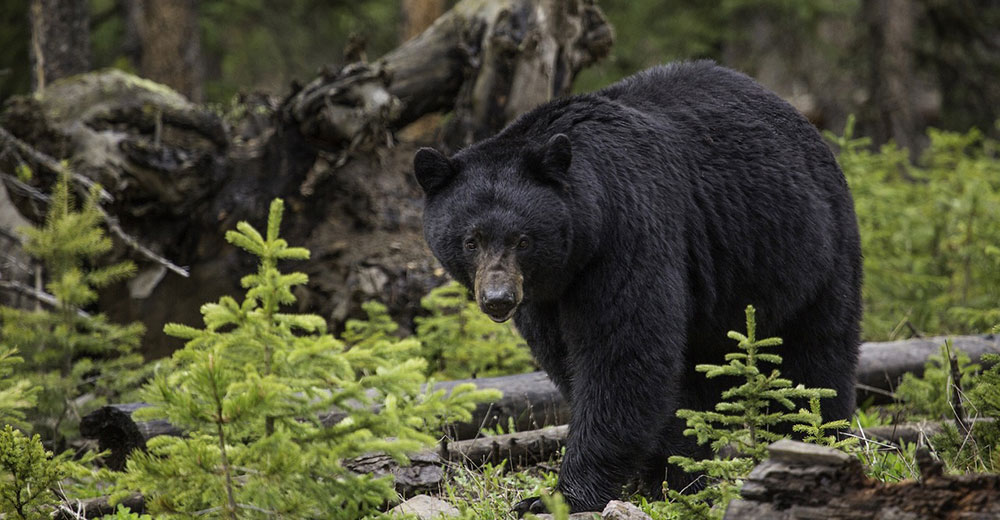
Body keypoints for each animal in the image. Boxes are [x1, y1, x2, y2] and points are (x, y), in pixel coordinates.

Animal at [413, 61, 862, 514]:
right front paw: (664, 473)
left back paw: (814, 440)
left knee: (815, 358)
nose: (498, 299)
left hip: (809, 253)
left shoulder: (628, 233)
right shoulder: (546, 296)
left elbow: (623, 355)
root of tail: (804, 122)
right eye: (470, 241)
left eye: (523, 240)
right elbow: (569, 359)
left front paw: (559, 496)